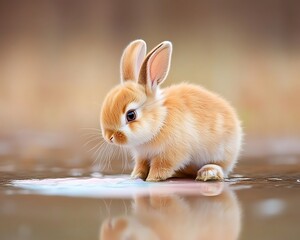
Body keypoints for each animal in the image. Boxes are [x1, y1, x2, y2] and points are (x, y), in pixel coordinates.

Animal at [99, 39, 243, 182]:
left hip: (222, 153)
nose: (109, 137)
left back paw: (208, 173)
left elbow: (160, 167)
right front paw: (135, 177)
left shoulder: (170, 154)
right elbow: (141, 167)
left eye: (131, 115)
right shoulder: (143, 156)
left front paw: (152, 179)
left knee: (221, 168)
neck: (160, 121)